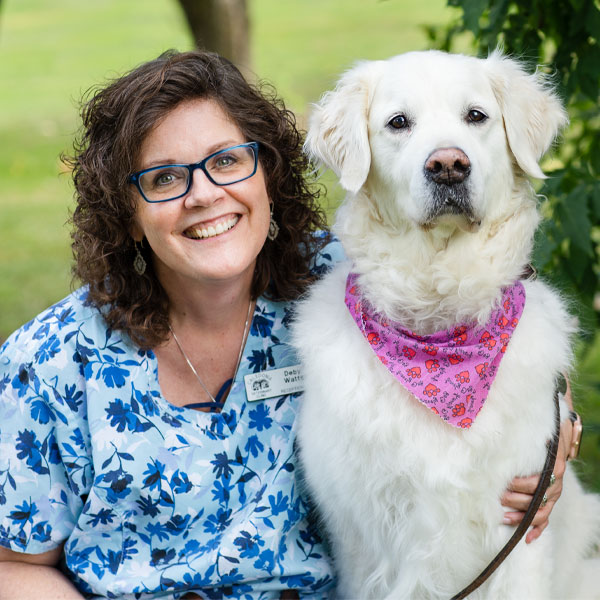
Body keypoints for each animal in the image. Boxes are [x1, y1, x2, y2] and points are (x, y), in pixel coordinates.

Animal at [292, 51, 596, 600]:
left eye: (476, 116)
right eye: (398, 123)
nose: (449, 165)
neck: (439, 329)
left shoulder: (520, 526)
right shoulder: (361, 541)